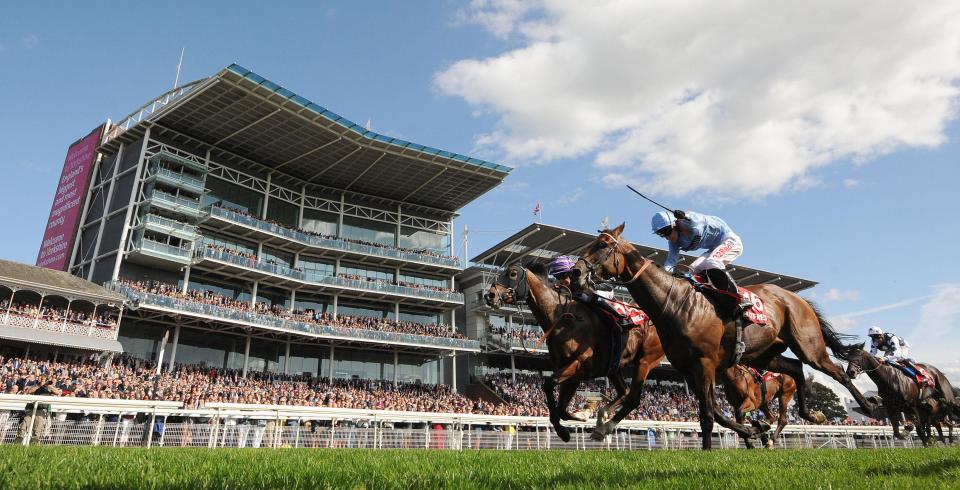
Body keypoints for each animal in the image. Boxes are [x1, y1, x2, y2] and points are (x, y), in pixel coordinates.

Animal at [484, 262, 664, 442]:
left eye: (513, 274)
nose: (489, 295)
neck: (562, 318)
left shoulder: (580, 366)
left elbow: (548, 385)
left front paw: (566, 429)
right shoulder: (569, 371)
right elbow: (562, 409)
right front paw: (581, 415)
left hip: (645, 360)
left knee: (633, 398)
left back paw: (604, 427)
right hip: (614, 366)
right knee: (623, 392)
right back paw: (601, 418)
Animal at [568, 224, 872, 450]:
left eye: (603, 245)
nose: (575, 271)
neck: (674, 302)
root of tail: (796, 297)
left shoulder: (704, 363)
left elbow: (707, 415)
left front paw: (708, 450)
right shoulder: (688, 368)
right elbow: (715, 411)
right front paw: (753, 430)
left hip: (809, 345)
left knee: (836, 372)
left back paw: (869, 406)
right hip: (763, 355)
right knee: (796, 368)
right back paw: (807, 415)